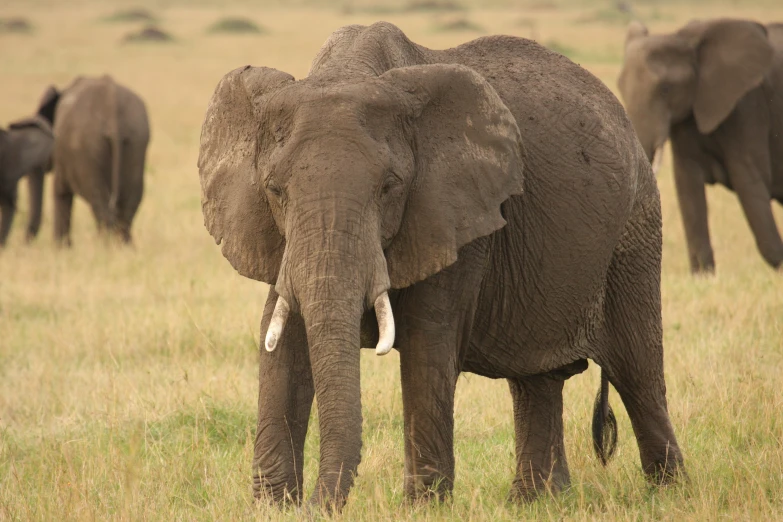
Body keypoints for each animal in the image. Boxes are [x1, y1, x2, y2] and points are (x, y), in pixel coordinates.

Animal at [43, 75, 152, 244]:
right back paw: (124, 247)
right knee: (130, 204)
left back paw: (104, 246)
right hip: (136, 139)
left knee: (100, 202)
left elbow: (60, 193)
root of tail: (111, 107)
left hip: (88, 148)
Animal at [198, 22, 688, 506]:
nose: (318, 505)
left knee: (638, 374)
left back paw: (668, 493)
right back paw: (537, 502)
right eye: (274, 189)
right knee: (537, 380)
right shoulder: (280, 239)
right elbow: (282, 345)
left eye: (390, 187)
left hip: (635, 233)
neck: (349, 72)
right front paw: (272, 506)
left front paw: (422, 506)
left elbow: (426, 346)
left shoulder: (455, 216)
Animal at [620, 18, 783, 272]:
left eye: (665, 89)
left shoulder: (747, 105)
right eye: (620, 88)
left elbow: (749, 181)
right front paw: (703, 275)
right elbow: (687, 184)